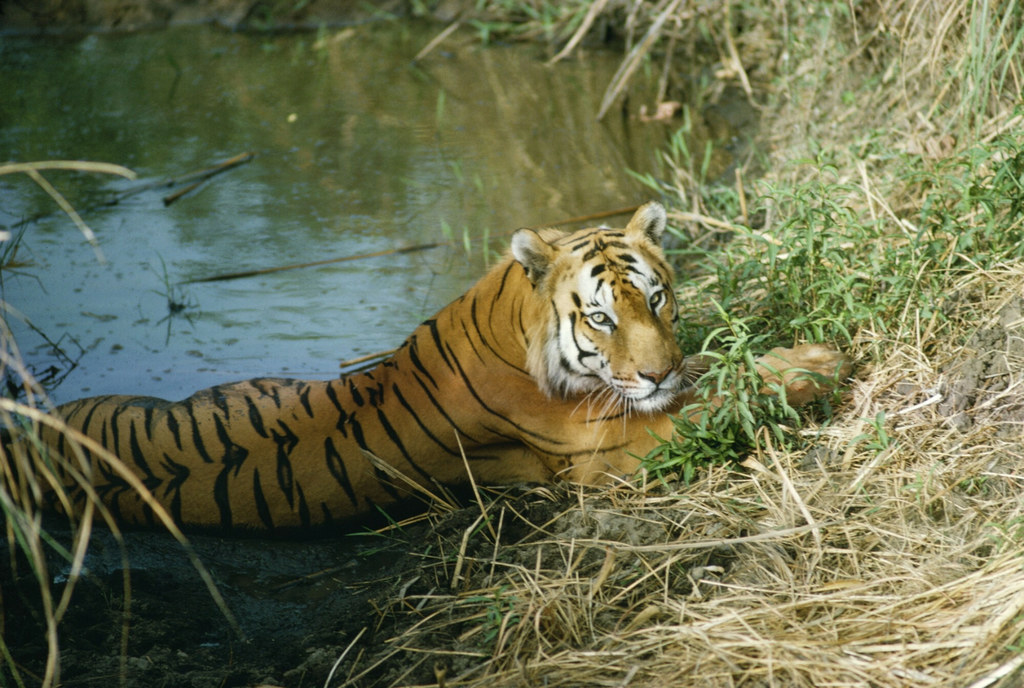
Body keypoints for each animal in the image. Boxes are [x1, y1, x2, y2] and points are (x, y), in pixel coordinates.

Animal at [29, 201, 847, 536]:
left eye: (657, 298)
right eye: (600, 318)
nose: (655, 375)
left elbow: (714, 371)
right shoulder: (602, 444)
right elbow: (716, 401)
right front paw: (815, 364)